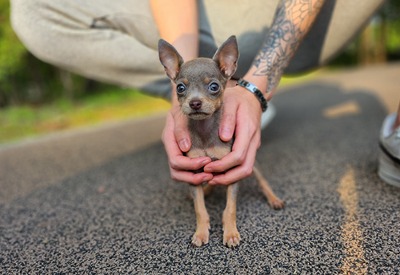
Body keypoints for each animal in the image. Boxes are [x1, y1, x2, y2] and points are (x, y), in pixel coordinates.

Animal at [158, 35, 282, 249]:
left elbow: (229, 208)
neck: (205, 132)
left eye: (214, 87)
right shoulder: (194, 171)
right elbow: (200, 208)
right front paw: (201, 232)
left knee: (262, 181)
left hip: (253, 167)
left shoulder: (232, 170)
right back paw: (207, 189)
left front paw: (231, 233)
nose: (195, 103)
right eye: (180, 88)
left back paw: (273, 199)